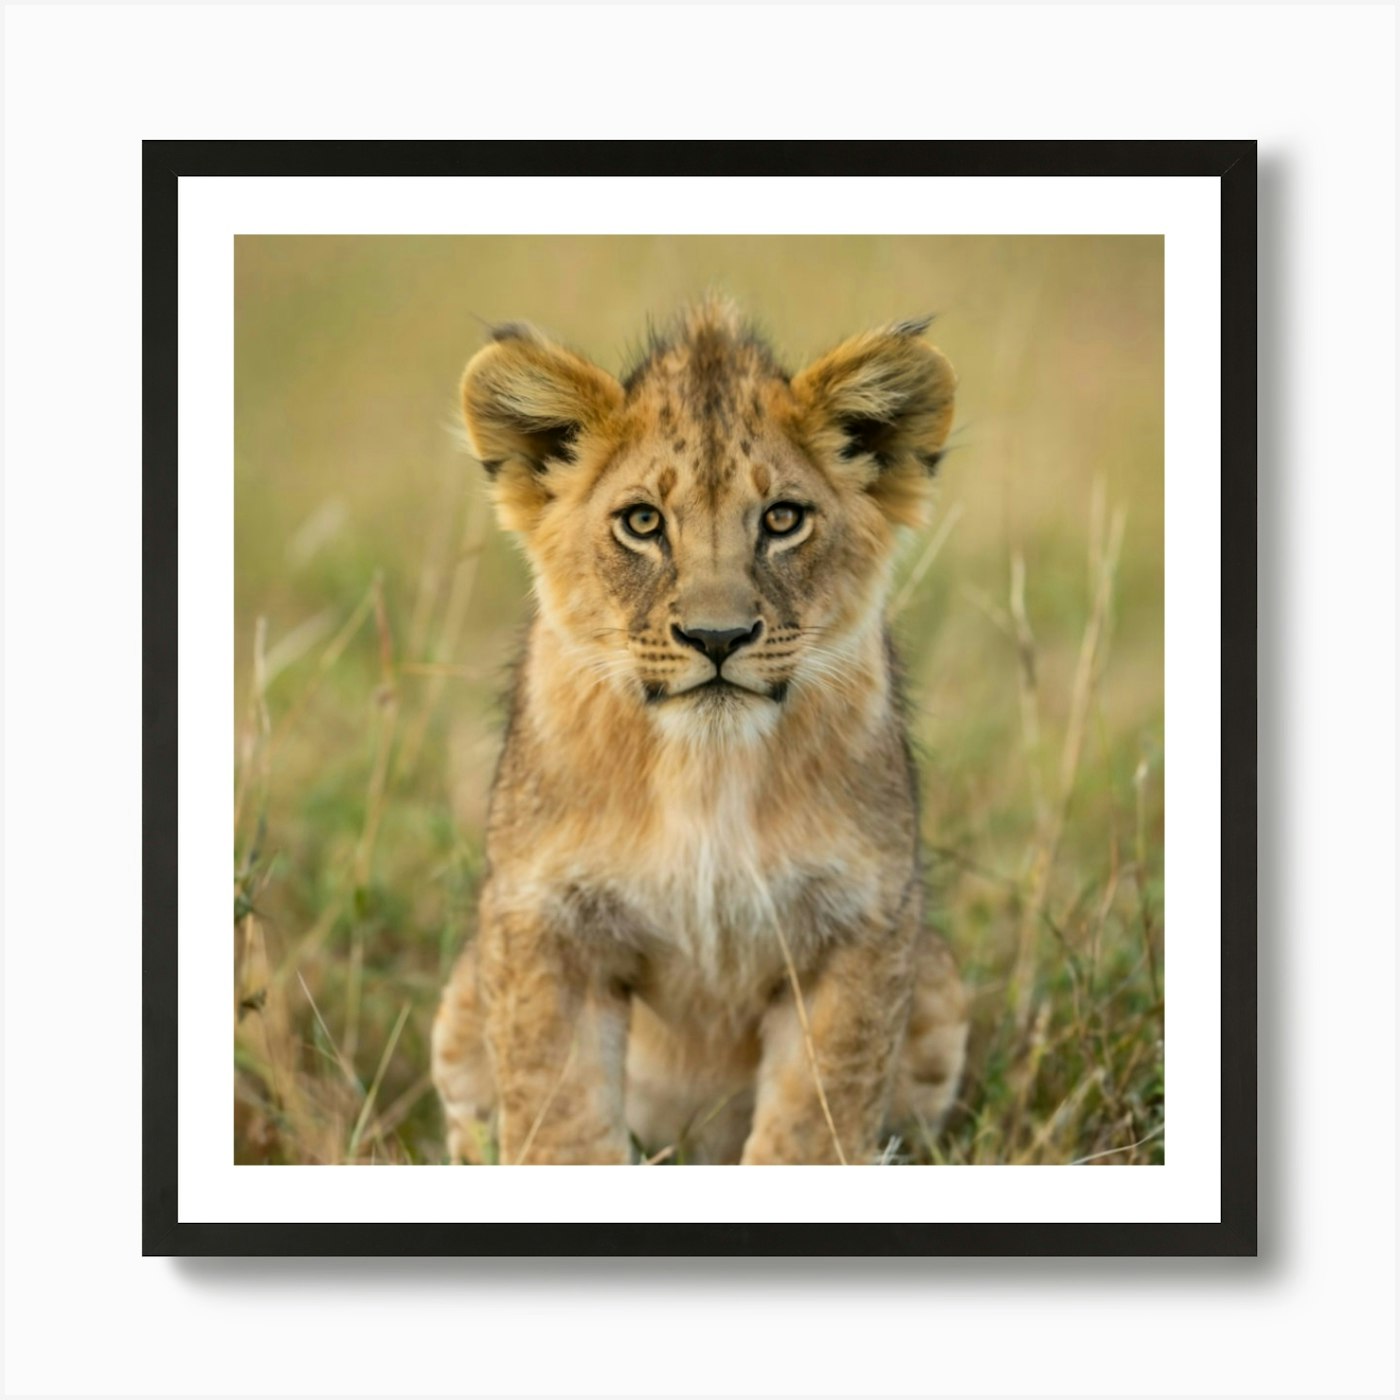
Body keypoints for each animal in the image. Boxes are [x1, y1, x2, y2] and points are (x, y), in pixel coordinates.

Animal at [431, 299, 969, 1165]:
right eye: (642, 521)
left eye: (782, 518)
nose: (718, 638)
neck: (705, 769)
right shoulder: (545, 924)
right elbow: (560, 1122)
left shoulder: (860, 928)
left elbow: (812, 1128)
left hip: (940, 982)